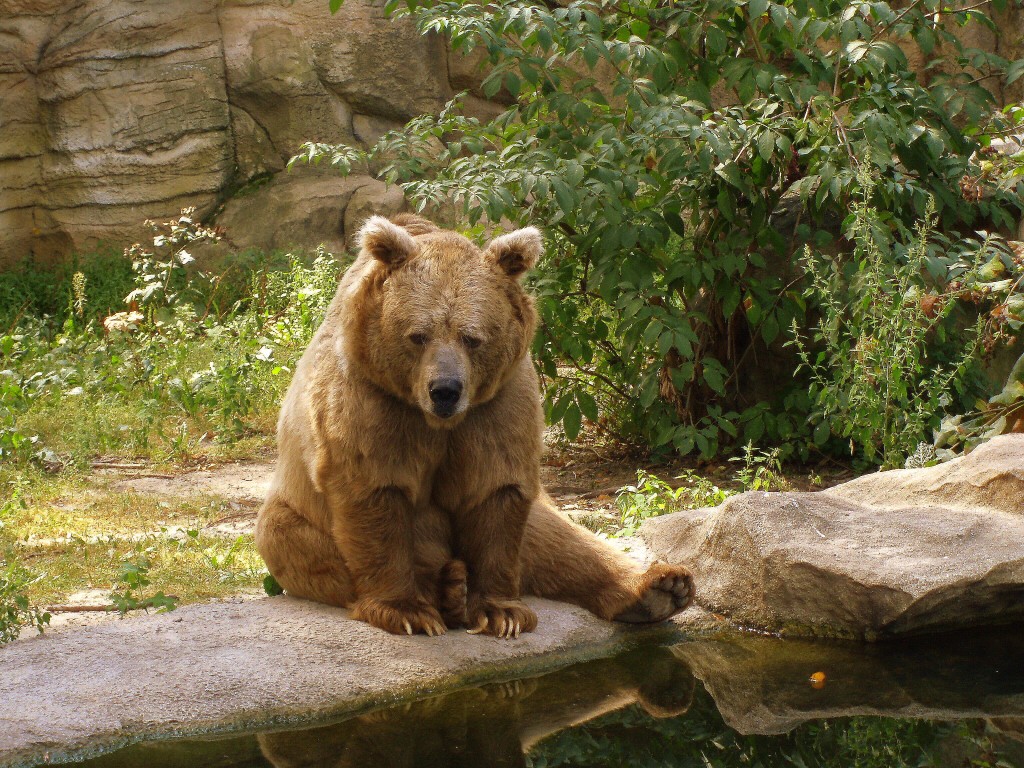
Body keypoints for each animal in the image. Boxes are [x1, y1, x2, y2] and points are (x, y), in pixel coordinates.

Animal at [251, 214, 692, 638]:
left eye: (472, 337)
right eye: (418, 335)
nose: (445, 390)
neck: (435, 420)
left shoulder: (498, 404)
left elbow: (495, 490)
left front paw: (501, 612)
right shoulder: (371, 399)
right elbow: (375, 489)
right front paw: (407, 611)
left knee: (558, 537)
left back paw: (661, 588)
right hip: (295, 520)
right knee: (299, 544)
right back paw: (444, 588)